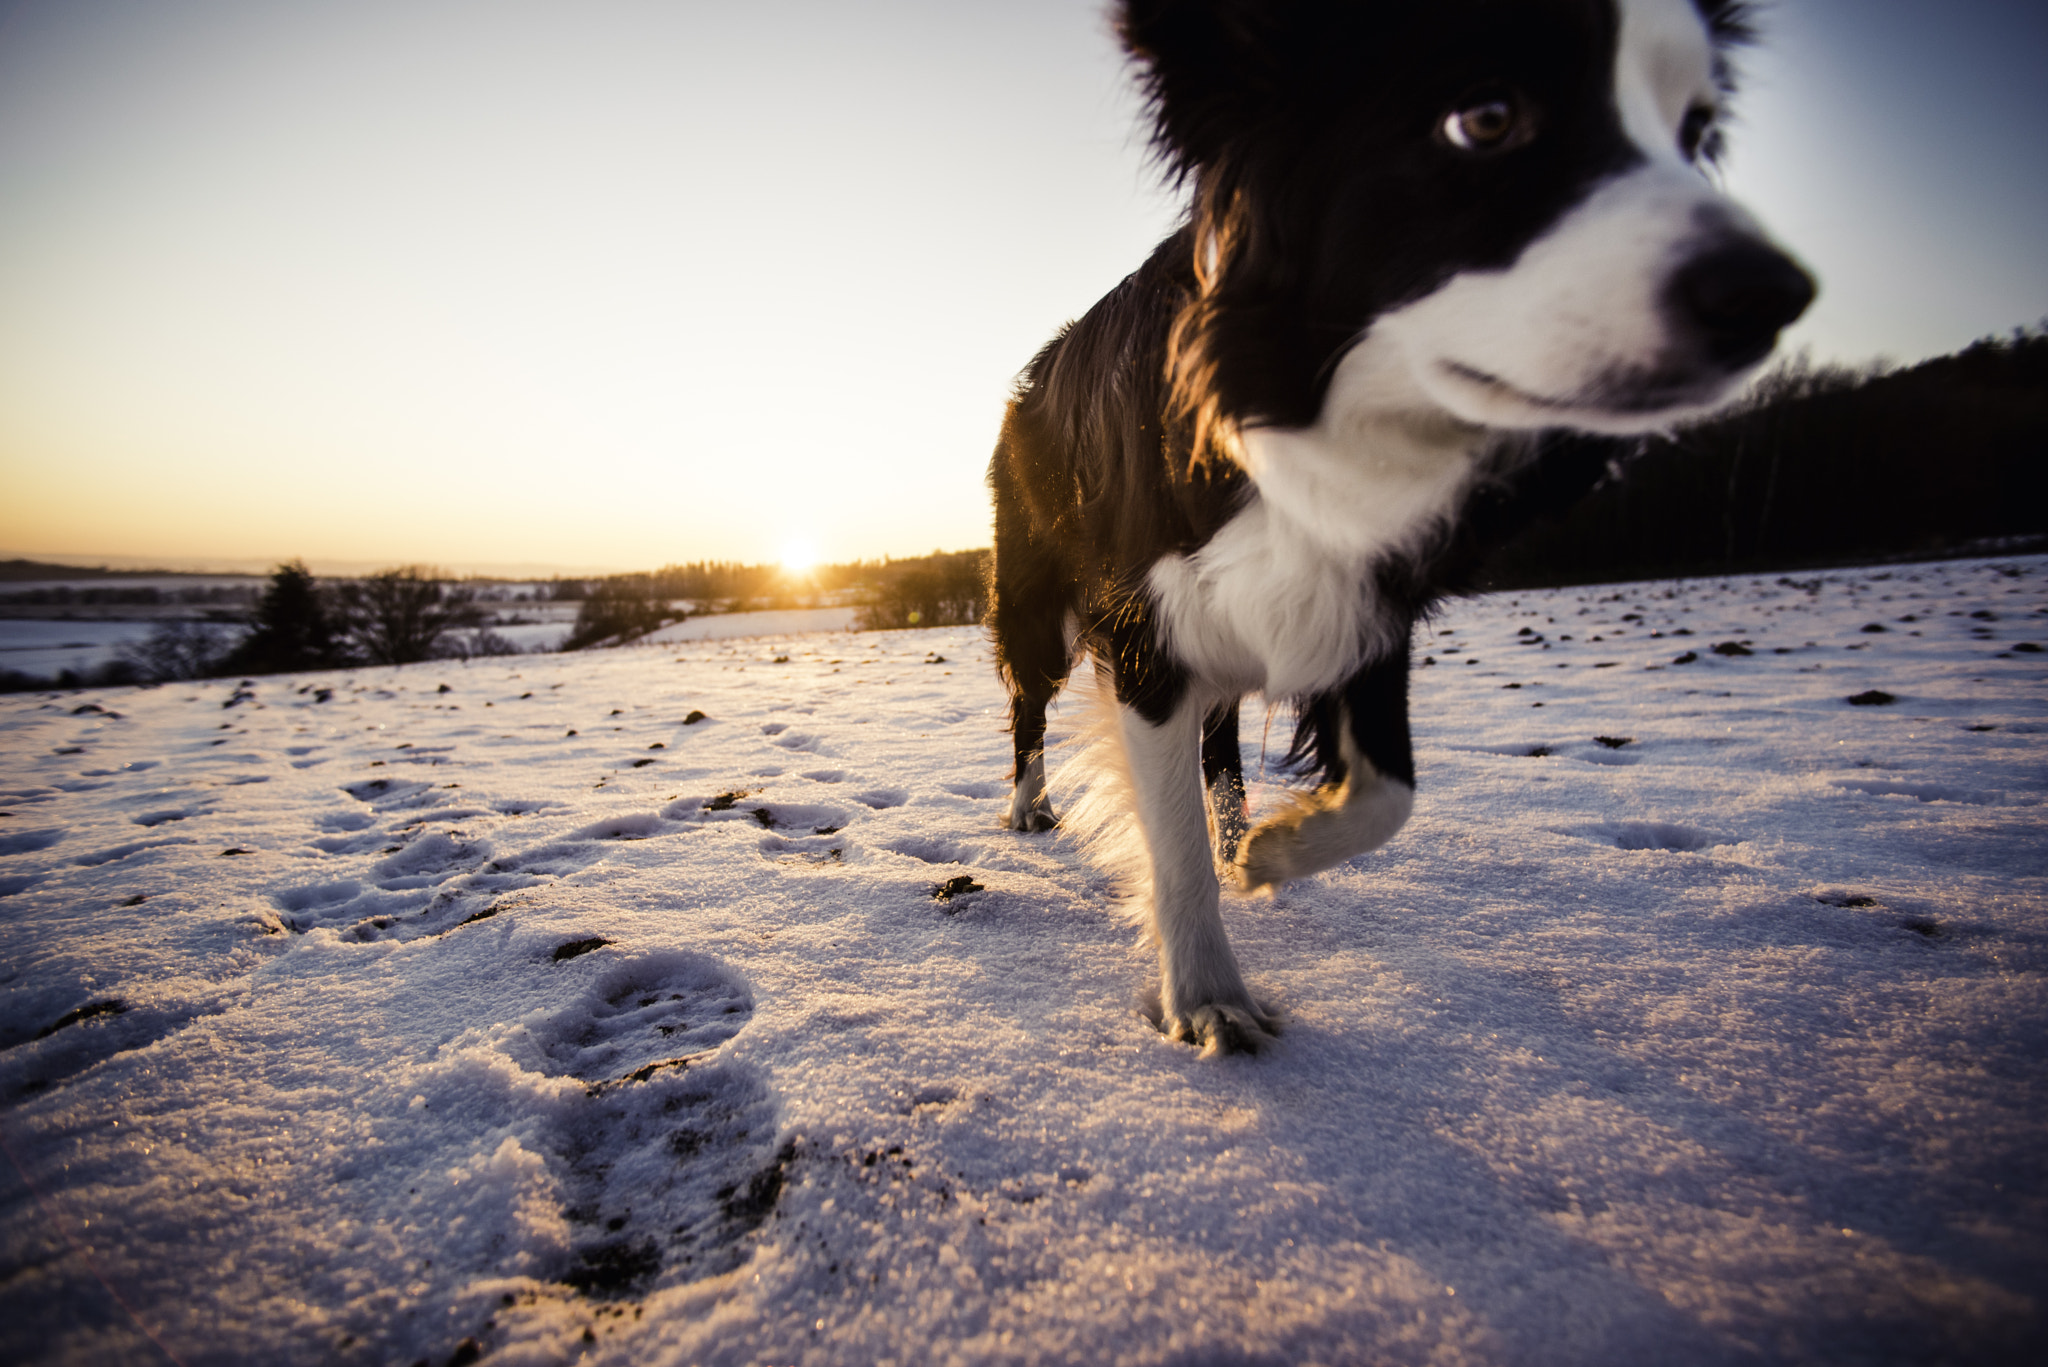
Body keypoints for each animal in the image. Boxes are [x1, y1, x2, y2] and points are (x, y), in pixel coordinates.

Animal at [983, 0, 1818, 1057]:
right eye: (1485, 118)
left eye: (1696, 134)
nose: (1772, 298)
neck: (1310, 413)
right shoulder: (1148, 623)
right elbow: (1171, 844)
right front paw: (1209, 995)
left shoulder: (1365, 601)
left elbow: (1390, 790)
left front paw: (1272, 851)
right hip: (1037, 598)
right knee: (1029, 706)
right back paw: (1029, 806)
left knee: (1221, 740)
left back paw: (1237, 831)